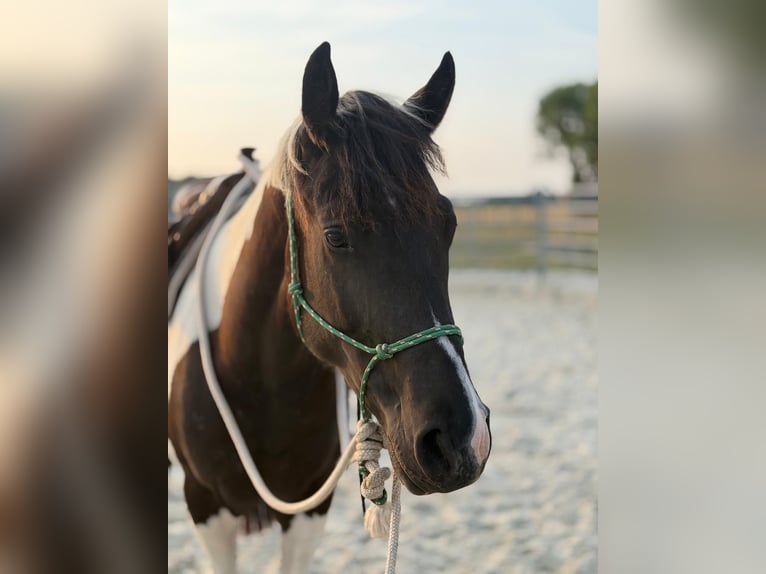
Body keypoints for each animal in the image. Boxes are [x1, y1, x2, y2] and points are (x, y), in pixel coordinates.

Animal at [168, 42, 492, 573]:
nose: (461, 438)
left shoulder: (308, 513)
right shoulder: (204, 507)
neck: (257, 380)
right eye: (336, 236)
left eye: (448, 225)